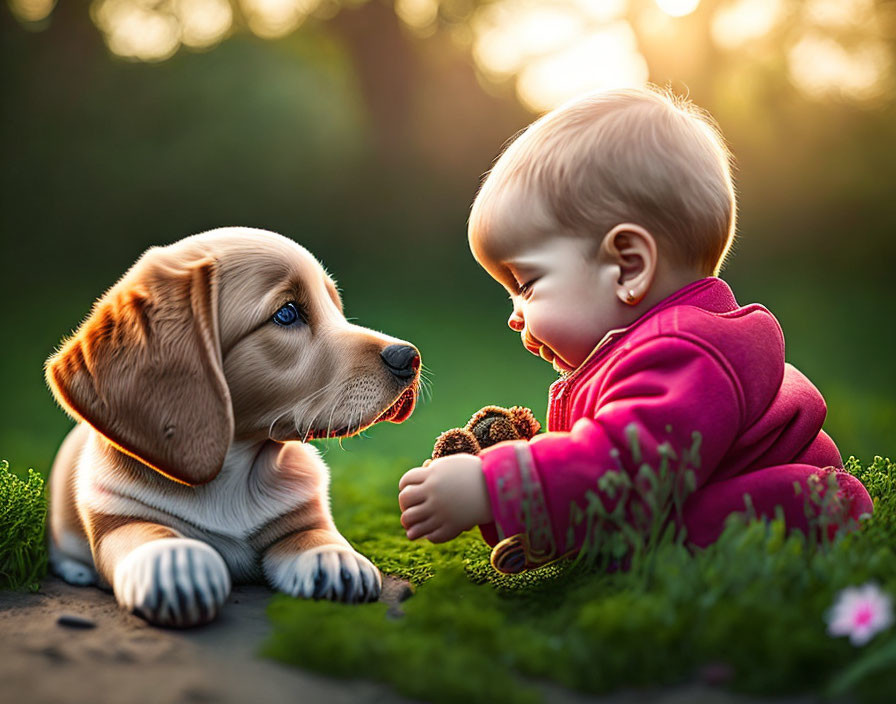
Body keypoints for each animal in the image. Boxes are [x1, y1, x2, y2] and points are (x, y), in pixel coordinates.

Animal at [43, 228, 420, 628]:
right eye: (287, 313)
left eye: (335, 307)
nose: (409, 357)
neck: (235, 467)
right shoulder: (115, 515)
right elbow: (145, 532)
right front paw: (175, 563)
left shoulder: (305, 511)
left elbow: (315, 532)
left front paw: (333, 557)